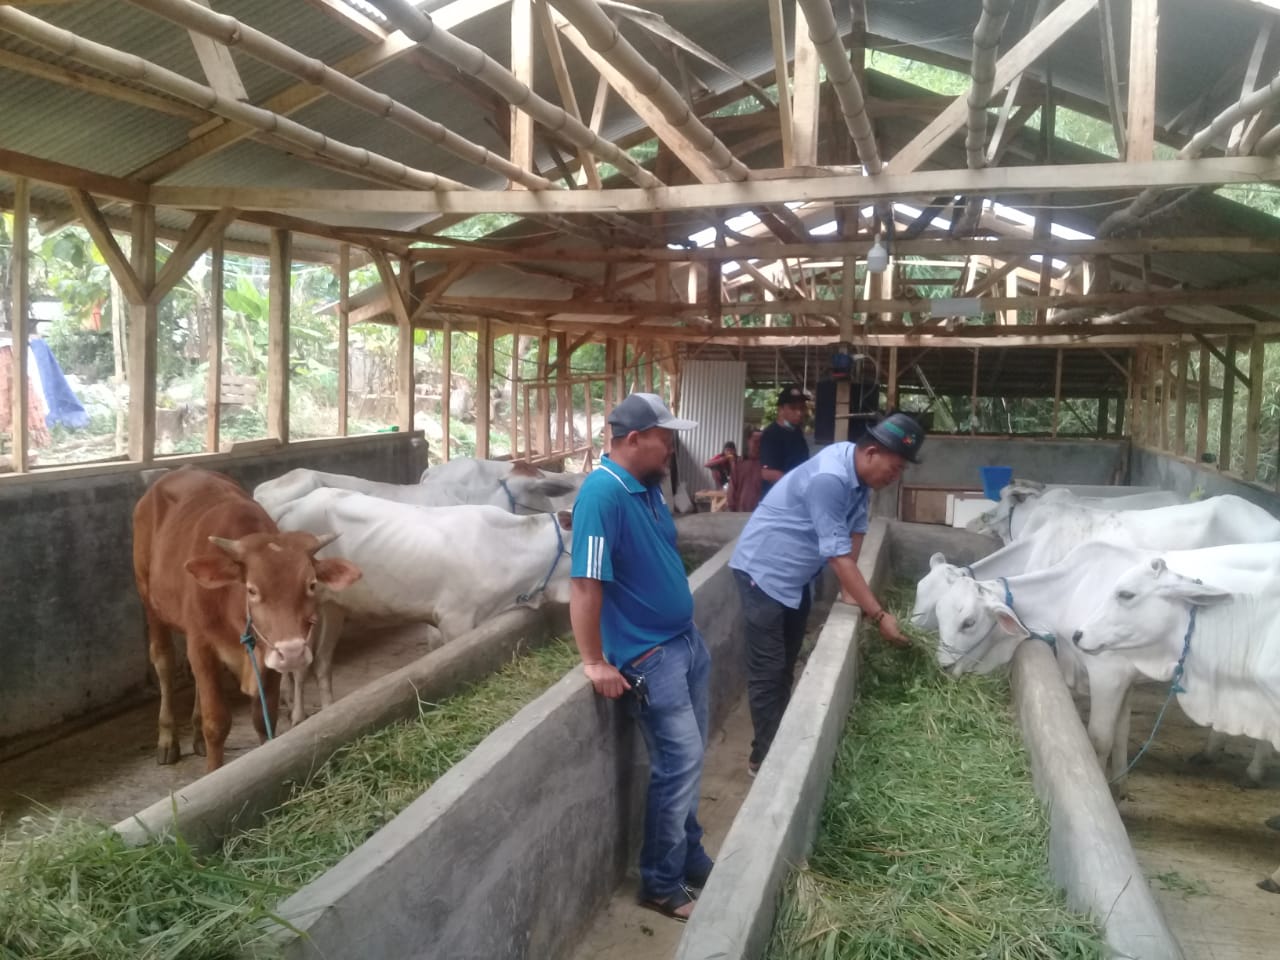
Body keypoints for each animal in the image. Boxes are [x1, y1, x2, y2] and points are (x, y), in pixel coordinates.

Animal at [132, 467, 361, 771]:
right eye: (252, 589)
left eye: (312, 585)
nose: (292, 653)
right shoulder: (201, 644)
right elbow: (217, 722)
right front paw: (214, 772)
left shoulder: (267, 656)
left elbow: (264, 719)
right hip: (148, 598)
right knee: (164, 663)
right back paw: (168, 739)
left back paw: (196, 736)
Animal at [266, 488, 573, 725]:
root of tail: (298, 503)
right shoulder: (454, 619)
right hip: (306, 606)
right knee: (300, 666)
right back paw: (297, 715)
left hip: (334, 607)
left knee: (322, 661)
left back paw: (328, 712)